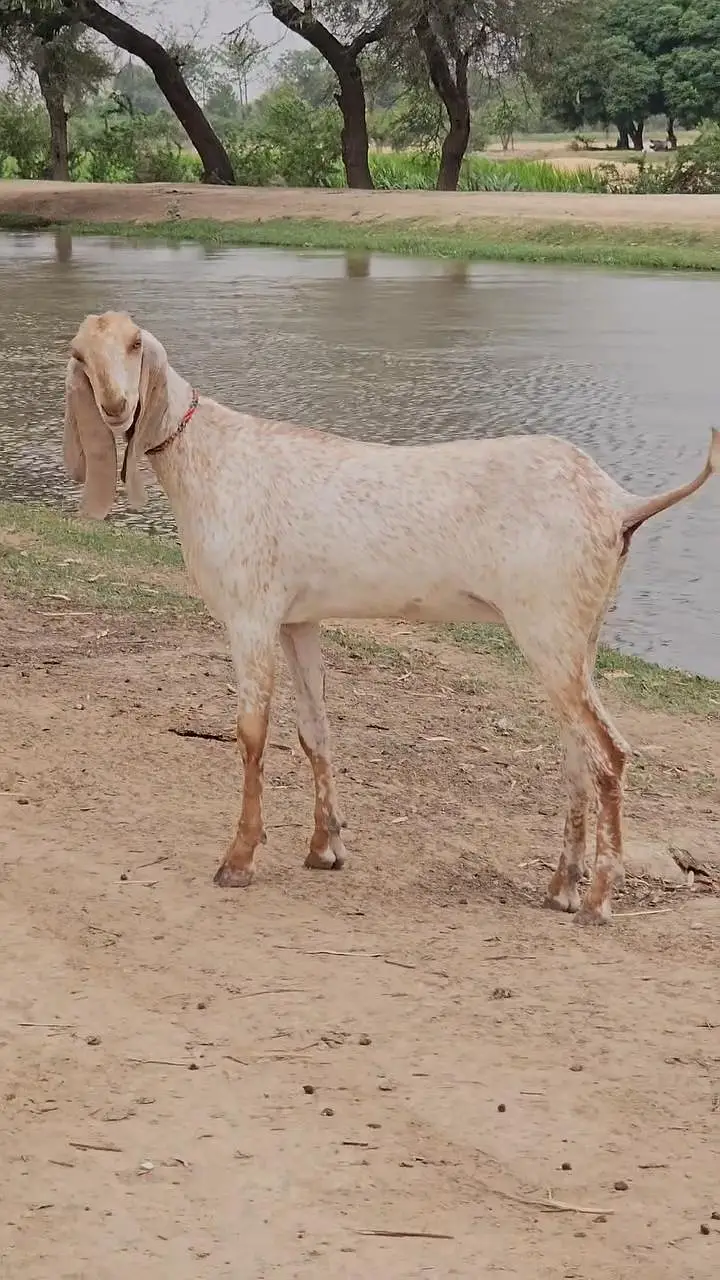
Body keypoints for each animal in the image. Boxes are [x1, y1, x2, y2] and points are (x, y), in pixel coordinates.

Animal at [62, 311, 719, 923]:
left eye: (135, 343)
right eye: (79, 354)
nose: (117, 404)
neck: (209, 455)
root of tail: (617, 502)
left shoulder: (250, 613)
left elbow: (252, 733)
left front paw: (240, 860)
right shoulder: (296, 621)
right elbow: (314, 730)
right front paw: (325, 848)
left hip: (548, 631)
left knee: (609, 753)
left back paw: (597, 901)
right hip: (579, 637)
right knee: (578, 755)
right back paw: (561, 887)